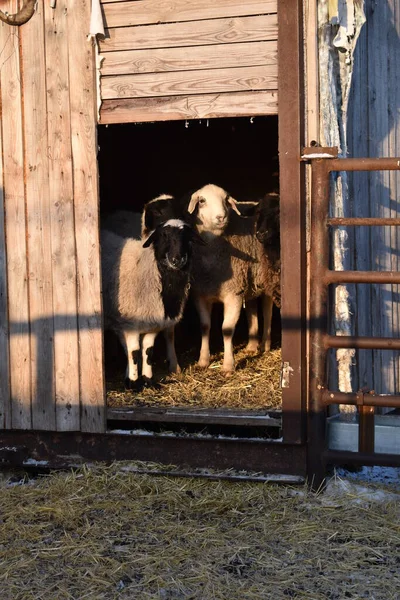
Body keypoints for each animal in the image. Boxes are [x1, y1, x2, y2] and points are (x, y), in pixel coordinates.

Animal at [100, 220, 194, 390]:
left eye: (188, 237)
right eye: (164, 235)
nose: (177, 260)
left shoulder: (153, 323)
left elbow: (148, 352)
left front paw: (148, 381)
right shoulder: (129, 323)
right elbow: (134, 353)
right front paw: (133, 383)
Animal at [184, 183, 280, 376]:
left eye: (226, 200)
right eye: (202, 200)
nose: (221, 216)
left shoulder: (233, 294)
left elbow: (227, 329)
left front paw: (228, 366)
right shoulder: (200, 294)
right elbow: (204, 326)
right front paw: (203, 361)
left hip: (267, 279)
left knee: (267, 311)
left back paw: (264, 345)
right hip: (249, 282)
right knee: (251, 310)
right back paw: (251, 346)